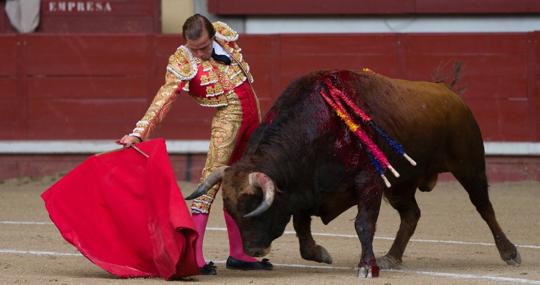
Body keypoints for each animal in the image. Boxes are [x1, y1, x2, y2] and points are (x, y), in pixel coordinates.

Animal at [186, 69, 520, 278]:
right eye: (230, 211)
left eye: (256, 207)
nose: (254, 250)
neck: (318, 127)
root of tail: (447, 90)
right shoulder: (304, 187)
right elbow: (302, 226)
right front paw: (320, 253)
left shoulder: (368, 182)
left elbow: (363, 224)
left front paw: (366, 267)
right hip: (399, 184)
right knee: (411, 215)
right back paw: (392, 257)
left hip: (469, 165)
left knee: (484, 207)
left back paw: (509, 253)